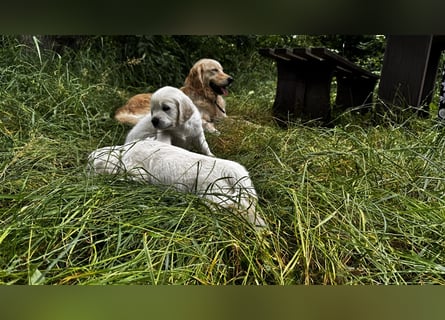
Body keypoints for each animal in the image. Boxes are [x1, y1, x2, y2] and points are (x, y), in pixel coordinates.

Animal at [88, 139, 266, 228]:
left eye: (91, 166)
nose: (87, 174)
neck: (123, 151)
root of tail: (236, 172)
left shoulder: (138, 171)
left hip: (216, 195)